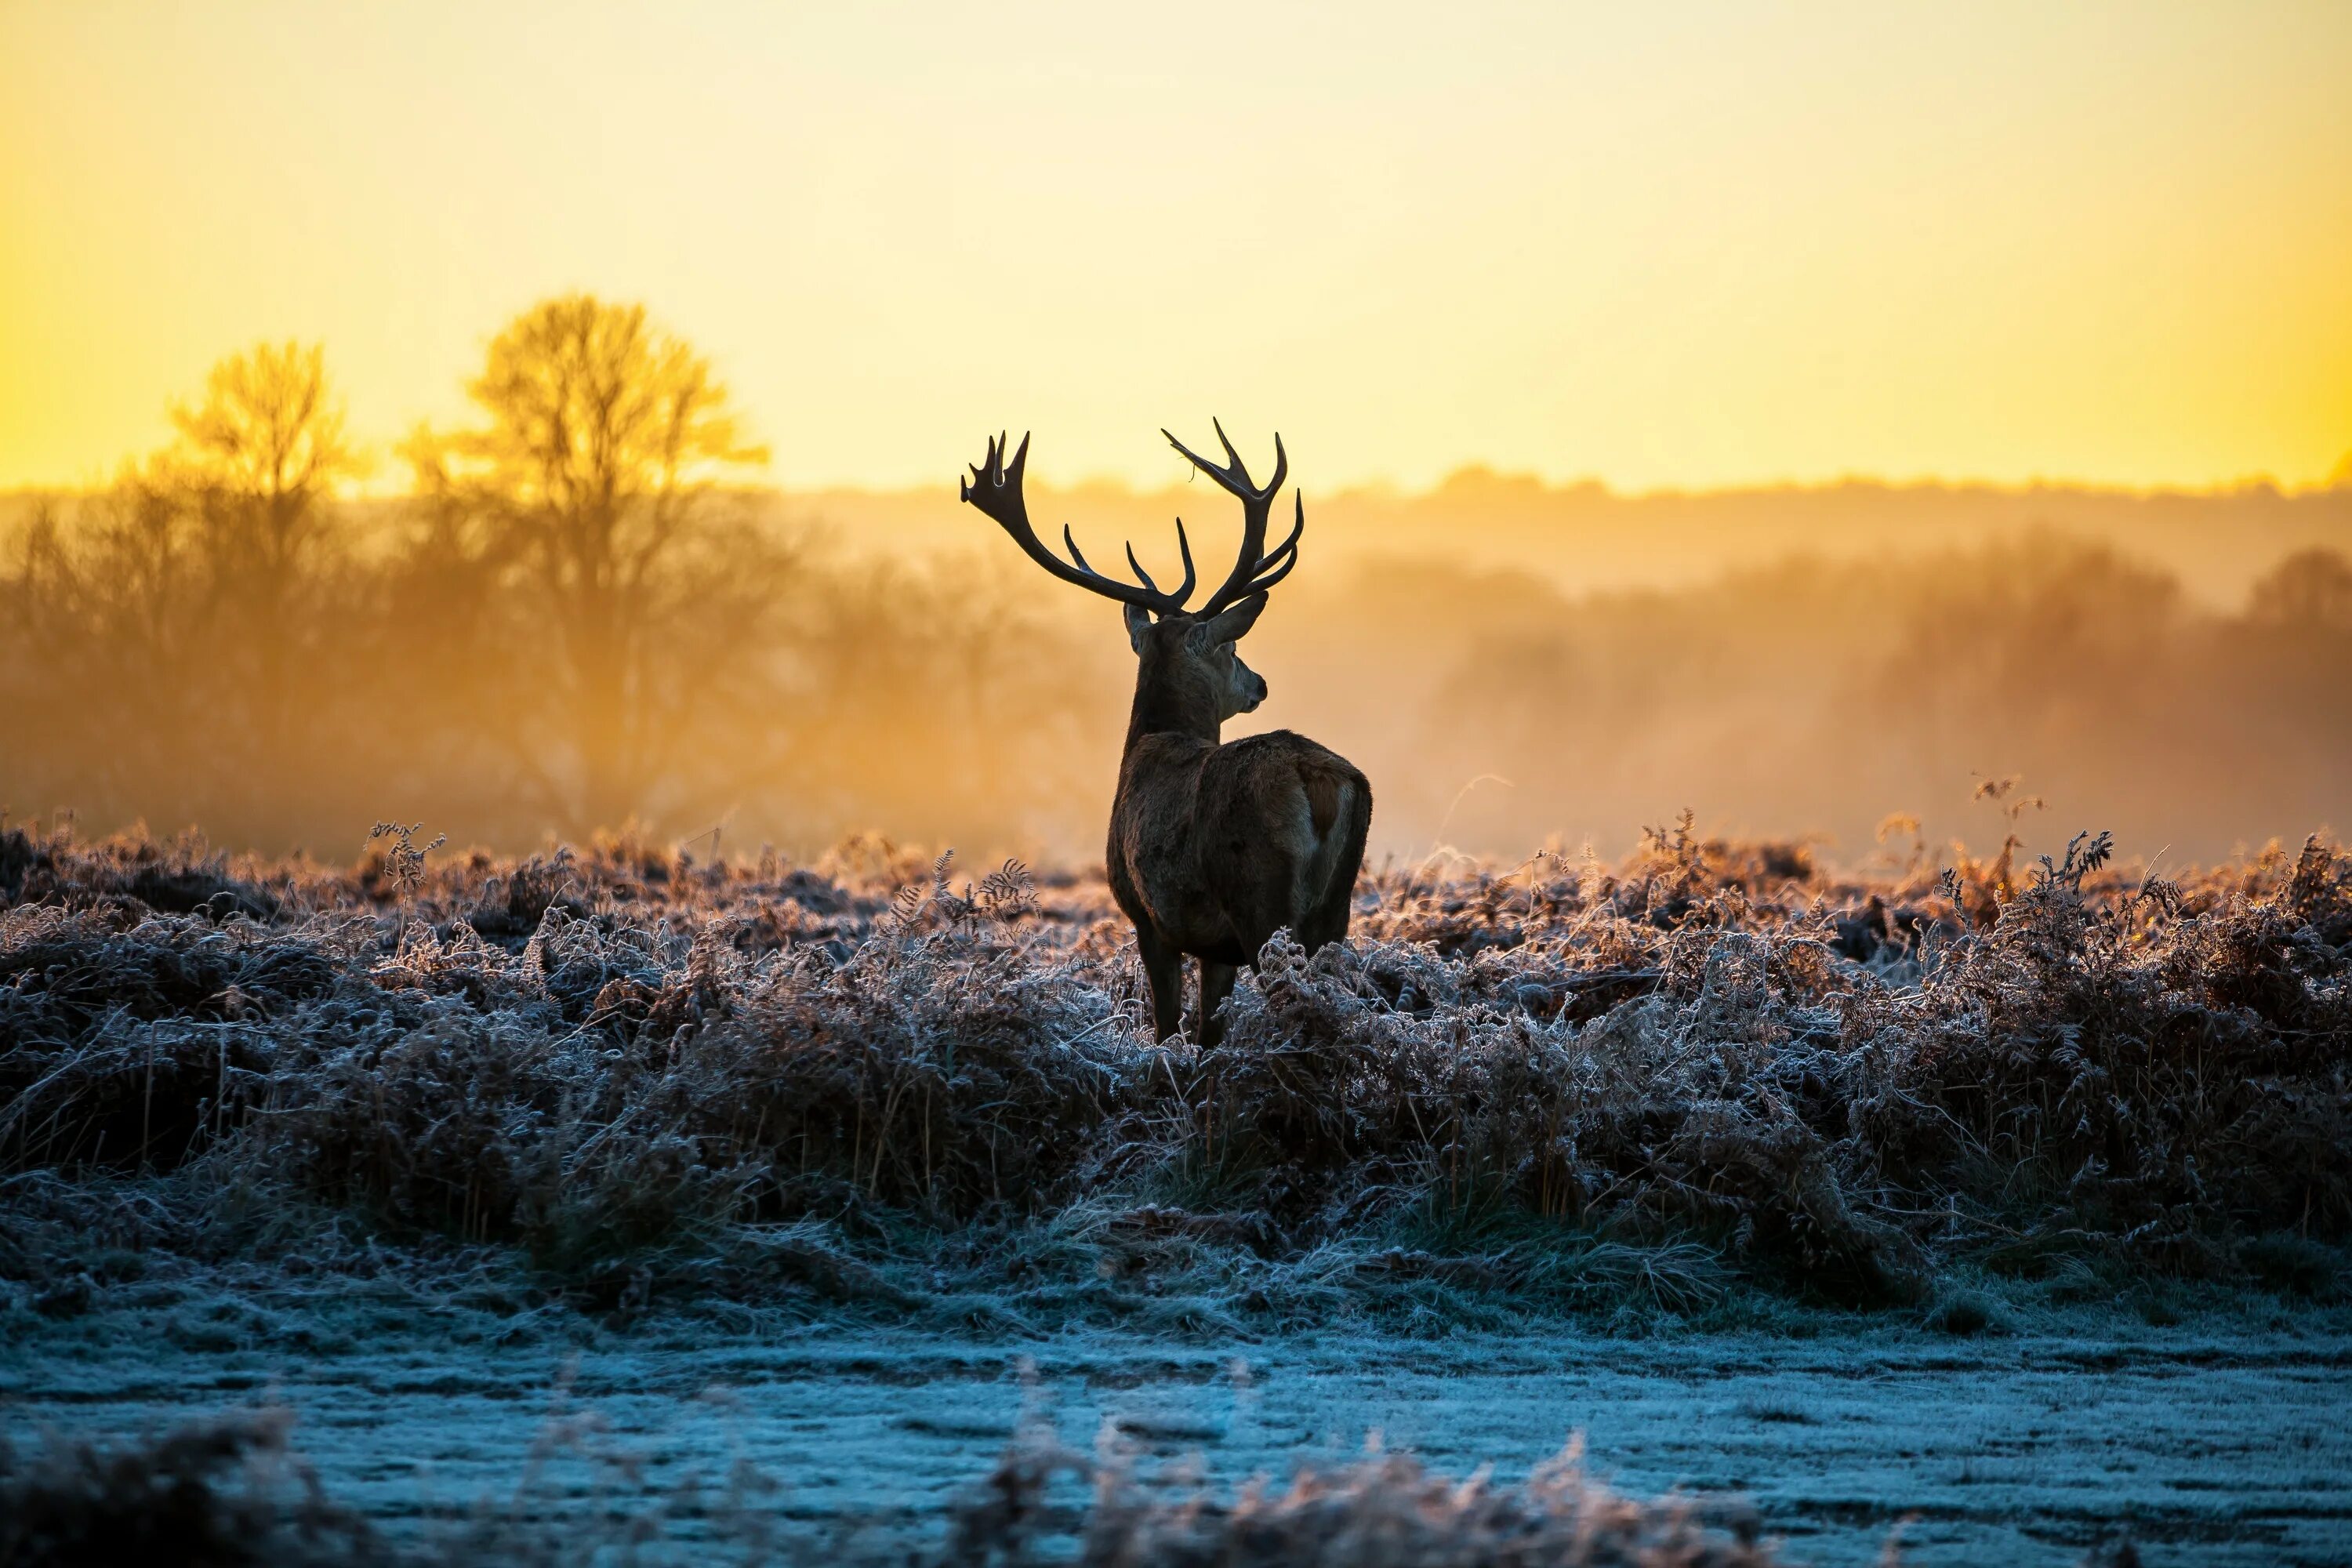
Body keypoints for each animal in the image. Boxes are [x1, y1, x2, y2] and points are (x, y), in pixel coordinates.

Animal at [960, 423, 1374, 1048]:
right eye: (1231, 647)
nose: (1259, 683)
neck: (1148, 744)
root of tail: (1318, 779)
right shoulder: (1212, 945)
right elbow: (1207, 1031)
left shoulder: (1149, 916)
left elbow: (1166, 1026)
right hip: (1335, 908)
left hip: (1260, 898)